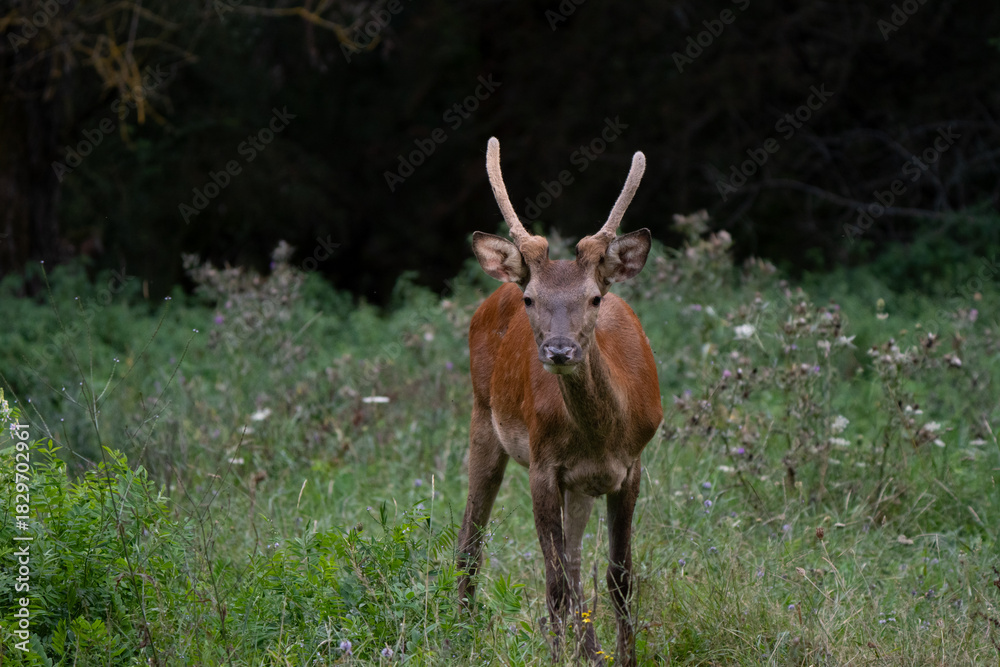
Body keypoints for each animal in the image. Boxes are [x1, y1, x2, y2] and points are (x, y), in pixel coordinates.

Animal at [457, 137, 663, 666]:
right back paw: (458, 633)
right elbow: (551, 585)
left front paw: (623, 656)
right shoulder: (543, 464)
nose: (559, 351)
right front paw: (554, 654)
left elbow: (619, 577)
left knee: (572, 557)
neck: (603, 437)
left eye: (594, 298)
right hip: (482, 416)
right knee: (472, 539)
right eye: (531, 298)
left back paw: (587, 649)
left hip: (581, 484)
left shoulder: (629, 466)